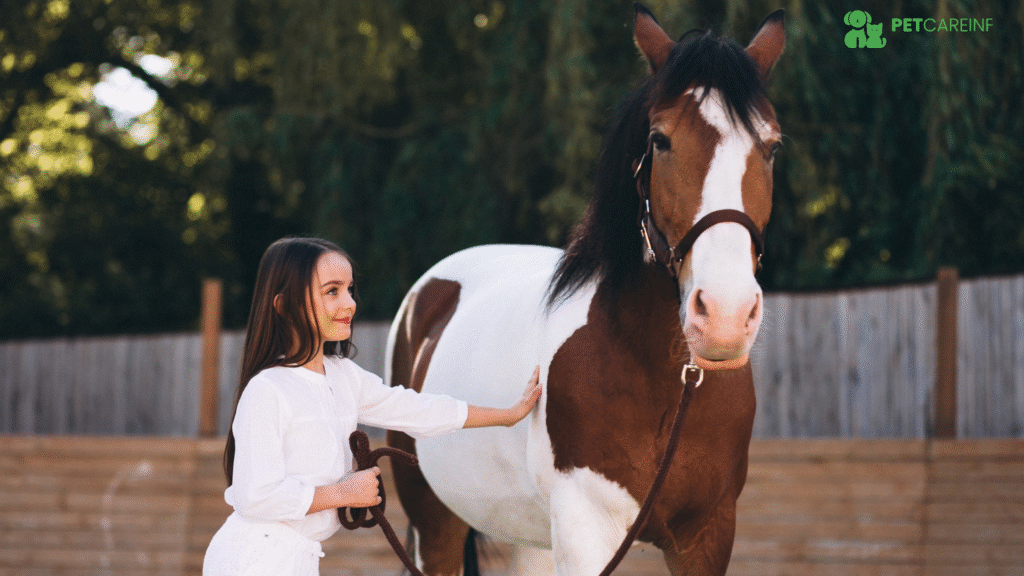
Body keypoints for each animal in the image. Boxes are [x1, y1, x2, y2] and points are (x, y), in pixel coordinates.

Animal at [385, 4, 785, 575]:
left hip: (526, 539)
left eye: (771, 147)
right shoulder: (585, 530)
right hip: (434, 524)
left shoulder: (707, 535)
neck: (663, 383)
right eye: (660, 140)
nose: (725, 315)